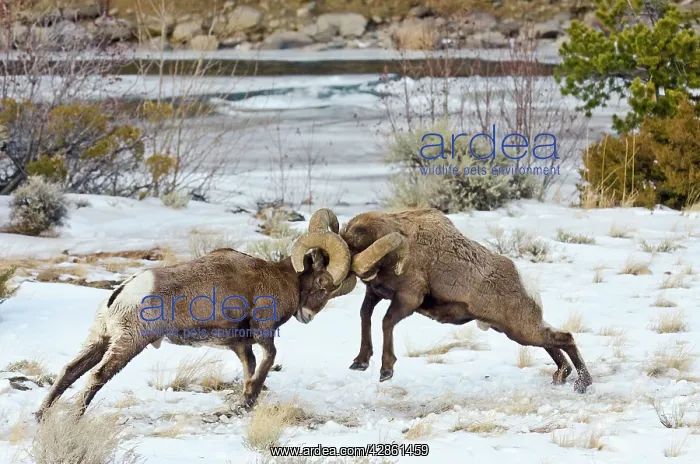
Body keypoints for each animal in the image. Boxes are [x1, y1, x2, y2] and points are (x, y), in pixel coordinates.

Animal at [35, 208, 357, 421]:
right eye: (322, 283)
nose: (308, 315)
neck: (280, 278)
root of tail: (121, 294)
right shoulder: (263, 331)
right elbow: (267, 361)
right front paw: (248, 399)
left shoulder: (241, 344)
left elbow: (250, 367)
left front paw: (244, 402)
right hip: (128, 343)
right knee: (97, 375)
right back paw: (74, 418)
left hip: (101, 339)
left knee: (70, 371)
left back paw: (41, 416)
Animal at [339, 208, 592, 393]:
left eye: (355, 245)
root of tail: (527, 284)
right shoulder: (376, 294)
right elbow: (365, 315)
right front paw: (360, 362)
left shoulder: (408, 300)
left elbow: (386, 322)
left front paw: (386, 371)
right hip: (517, 331)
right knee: (554, 342)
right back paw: (561, 377)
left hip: (522, 332)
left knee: (565, 338)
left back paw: (582, 384)